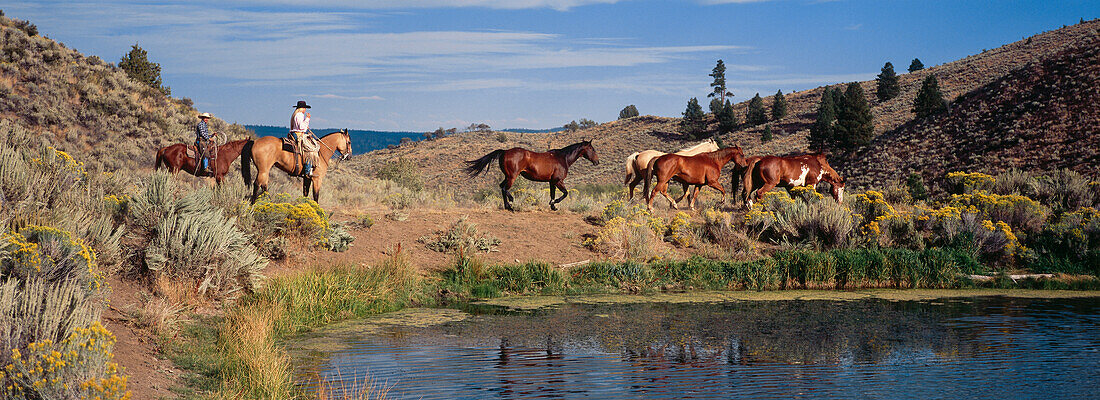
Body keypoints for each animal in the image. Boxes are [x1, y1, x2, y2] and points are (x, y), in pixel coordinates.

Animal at [466, 140, 602, 210]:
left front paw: (553, 206)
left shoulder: (552, 182)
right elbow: (565, 193)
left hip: (507, 176)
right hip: (512, 177)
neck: (563, 158)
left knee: (501, 187)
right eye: (592, 149)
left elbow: (552, 194)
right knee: (504, 188)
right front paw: (555, 203)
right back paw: (511, 203)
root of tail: (504, 152)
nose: (597, 162)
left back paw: (507, 206)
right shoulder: (558, 181)